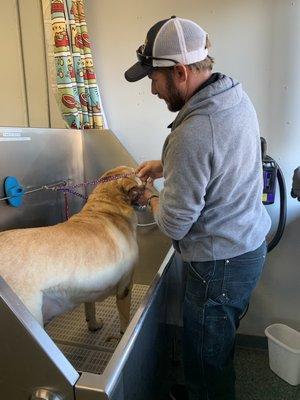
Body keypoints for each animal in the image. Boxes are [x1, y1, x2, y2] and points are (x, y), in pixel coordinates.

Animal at [0, 166, 144, 334]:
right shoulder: (125, 288)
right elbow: (125, 321)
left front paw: (93, 325)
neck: (107, 209)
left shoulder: (90, 288)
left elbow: (90, 307)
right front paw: (124, 332)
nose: (146, 179)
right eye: (137, 174)